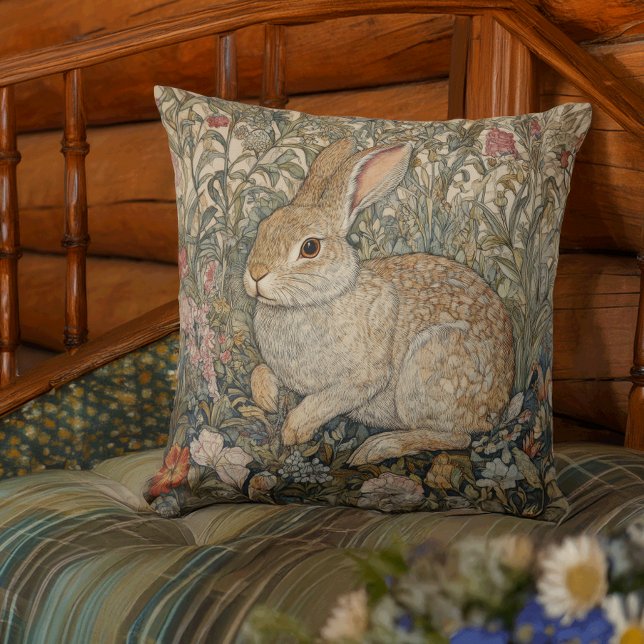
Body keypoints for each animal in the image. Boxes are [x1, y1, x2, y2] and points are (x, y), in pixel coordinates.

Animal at [243, 137, 515, 466]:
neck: (314, 300)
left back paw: (376, 448)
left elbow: (327, 398)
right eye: (262, 228)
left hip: (431, 366)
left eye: (310, 248)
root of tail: (496, 407)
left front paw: (294, 430)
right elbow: (260, 370)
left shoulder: (365, 376)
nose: (256, 274)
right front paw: (267, 398)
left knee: (457, 437)